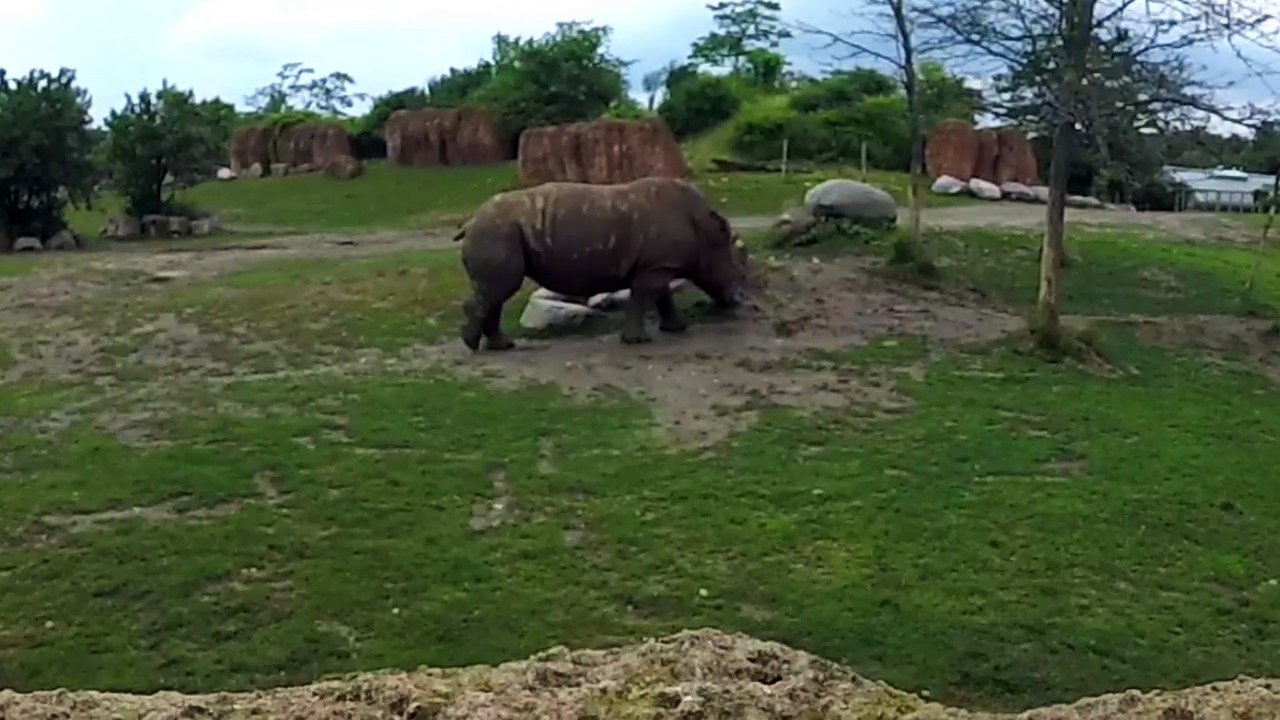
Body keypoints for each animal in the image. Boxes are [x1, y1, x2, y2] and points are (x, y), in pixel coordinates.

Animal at [453, 176, 750, 351]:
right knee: (501, 288)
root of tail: (470, 221)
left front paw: (677, 328)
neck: (707, 233)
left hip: (498, 230)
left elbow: (662, 296)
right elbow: (644, 296)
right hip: (496, 231)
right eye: (735, 271)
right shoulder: (657, 266)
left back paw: (502, 345)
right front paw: (637, 342)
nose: (738, 300)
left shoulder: (658, 263)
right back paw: (474, 344)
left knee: (496, 292)